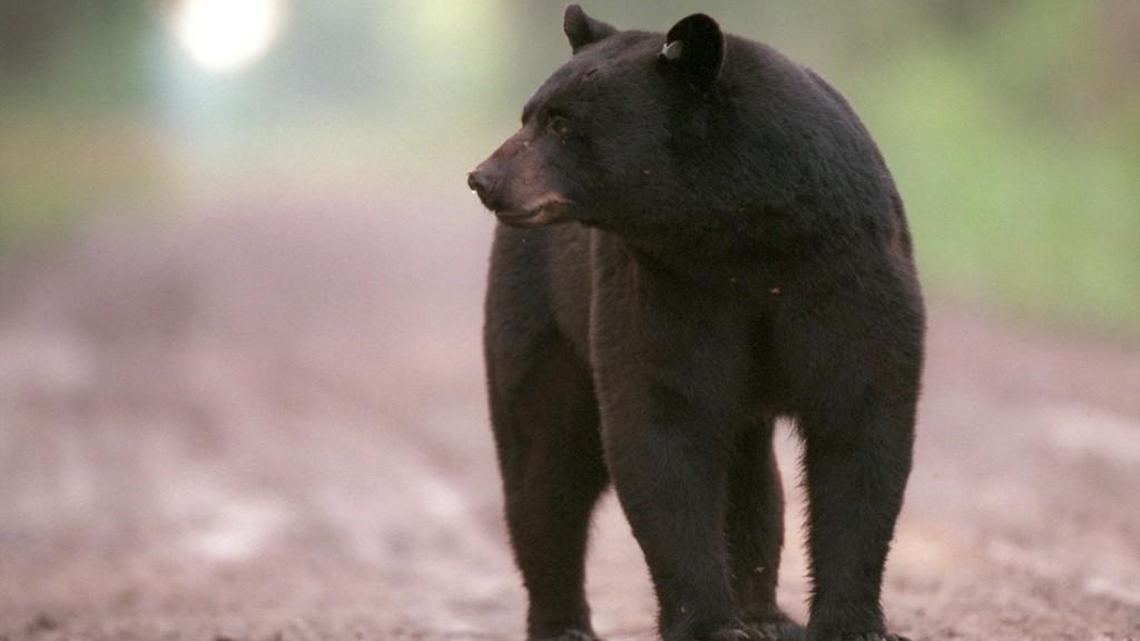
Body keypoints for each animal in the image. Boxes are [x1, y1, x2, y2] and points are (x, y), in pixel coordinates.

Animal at [468, 6, 923, 641]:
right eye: (529, 114)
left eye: (561, 122)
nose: (484, 178)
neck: (739, 234)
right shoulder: (666, 287)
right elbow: (664, 424)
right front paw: (706, 621)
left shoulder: (844, 269)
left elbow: (860, 422)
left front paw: (851, 622)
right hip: (541, 316)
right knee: (545, 464)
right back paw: (563, 622)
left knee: (749, 477)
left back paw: (764, 614)